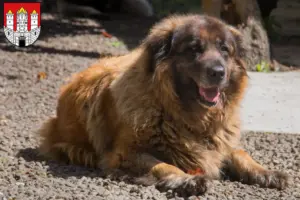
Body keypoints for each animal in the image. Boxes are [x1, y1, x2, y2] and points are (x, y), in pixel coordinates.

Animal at [36, 14, 290, 197]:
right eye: (194, 49)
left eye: (224, 49)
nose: (218, 72)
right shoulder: (124, 154)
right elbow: (162, 165)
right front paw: (186, 179)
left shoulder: (220, 142)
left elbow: (240, 153)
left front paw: (265, 172)